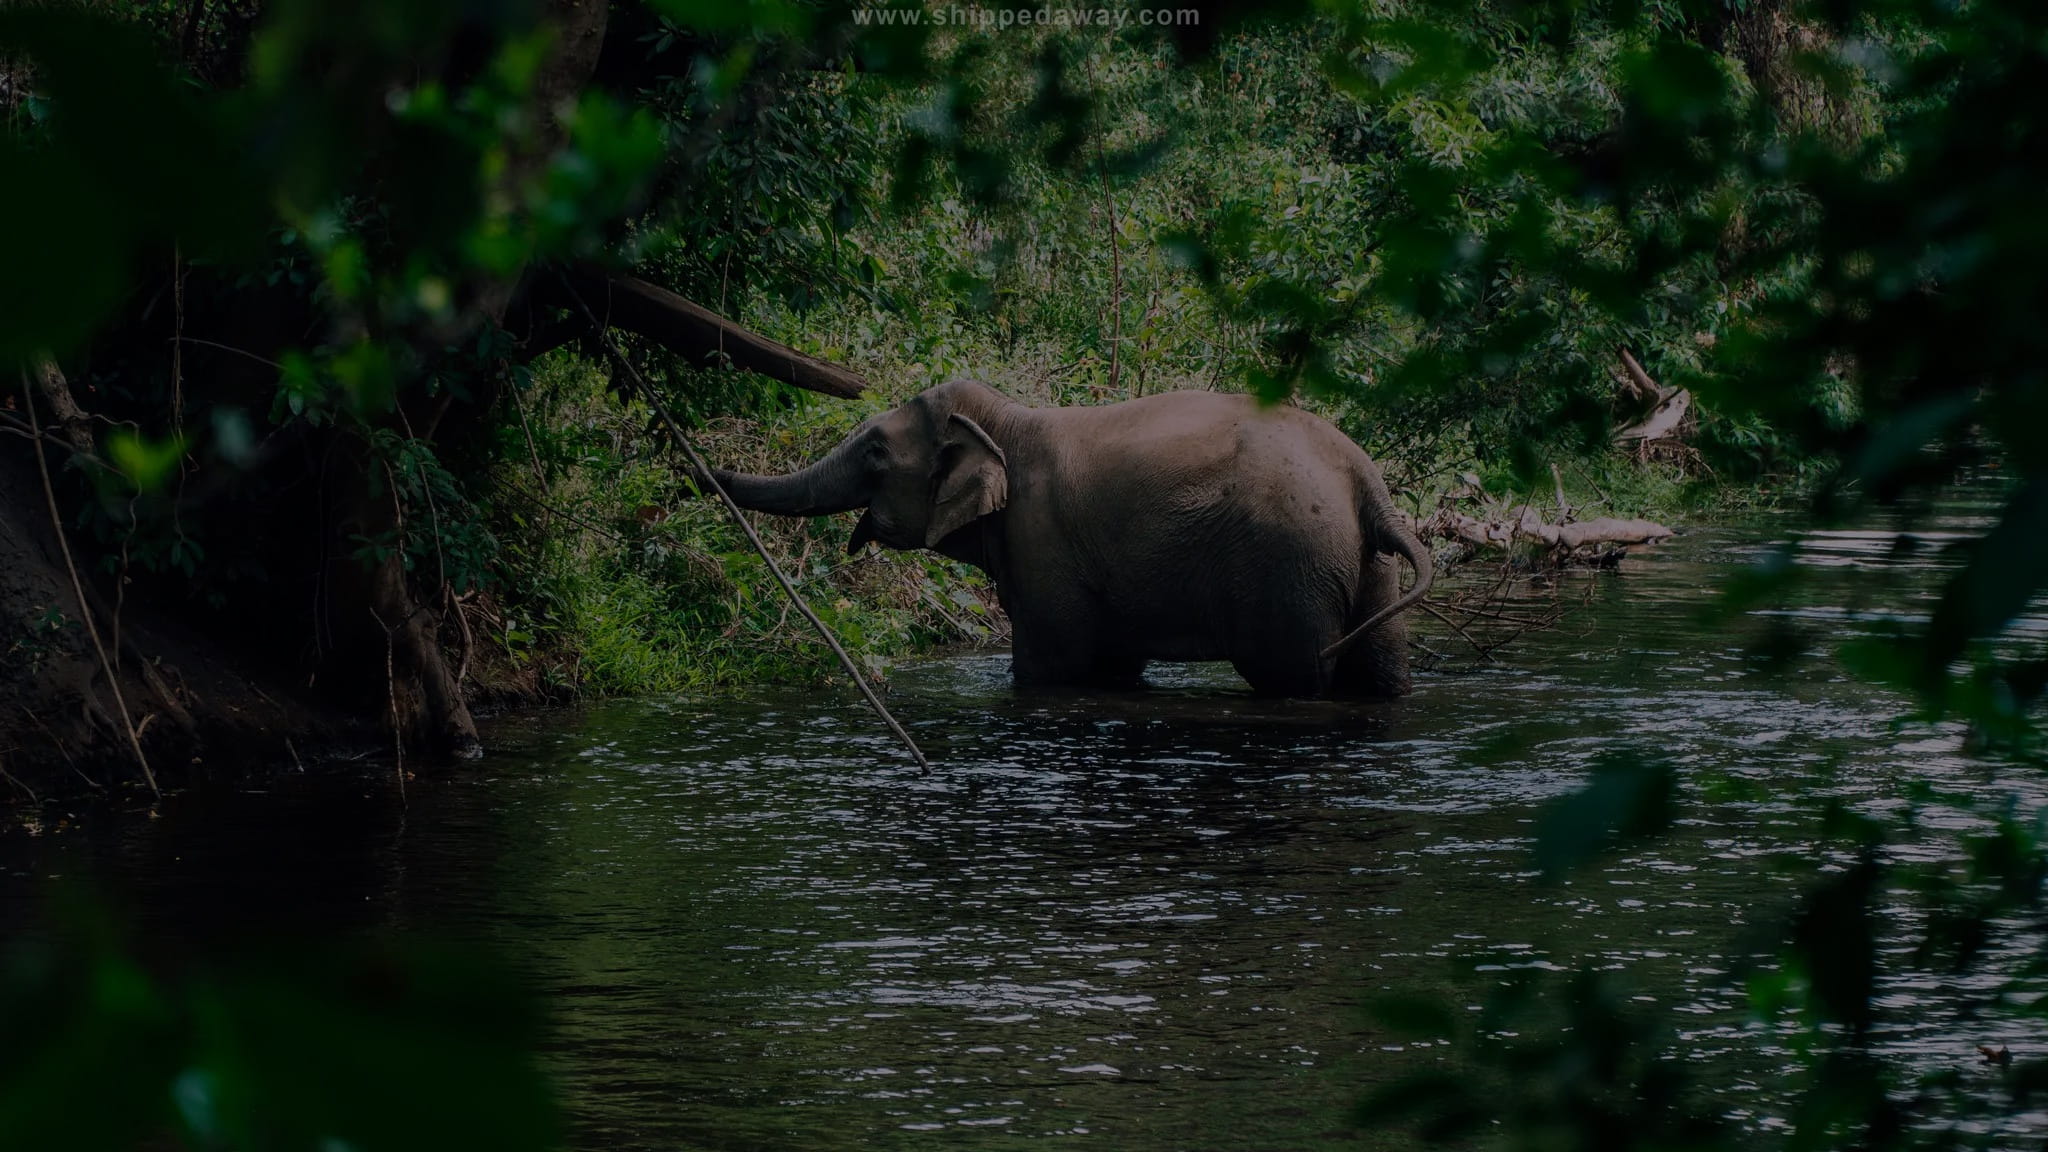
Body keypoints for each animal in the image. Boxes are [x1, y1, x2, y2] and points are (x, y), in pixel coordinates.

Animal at [696, 381, 1433, 696]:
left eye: (876, 451)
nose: (699, 467)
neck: (1005, 420)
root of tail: (1367, 484)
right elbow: (1113, 665)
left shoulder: (1041, 540)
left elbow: (1053, 667)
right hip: (1362, 567)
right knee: (1379, 673)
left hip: (1289, 568)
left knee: (1294, 678)